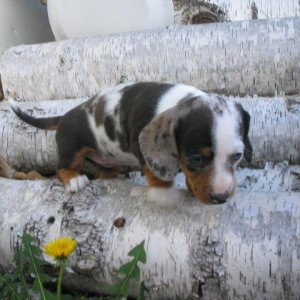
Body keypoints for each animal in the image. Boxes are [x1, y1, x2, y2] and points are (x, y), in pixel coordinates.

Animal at [8, 82, 251, 204]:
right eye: (197, 158)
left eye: (237, 156)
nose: (221, 197)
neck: (177, 101)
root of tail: (64, 115)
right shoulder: (140, 145)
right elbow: (155, 172)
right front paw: (163, 193)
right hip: (72, 148)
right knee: (62, 168)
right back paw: (74, 180)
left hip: (106, 162)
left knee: (103, 172)